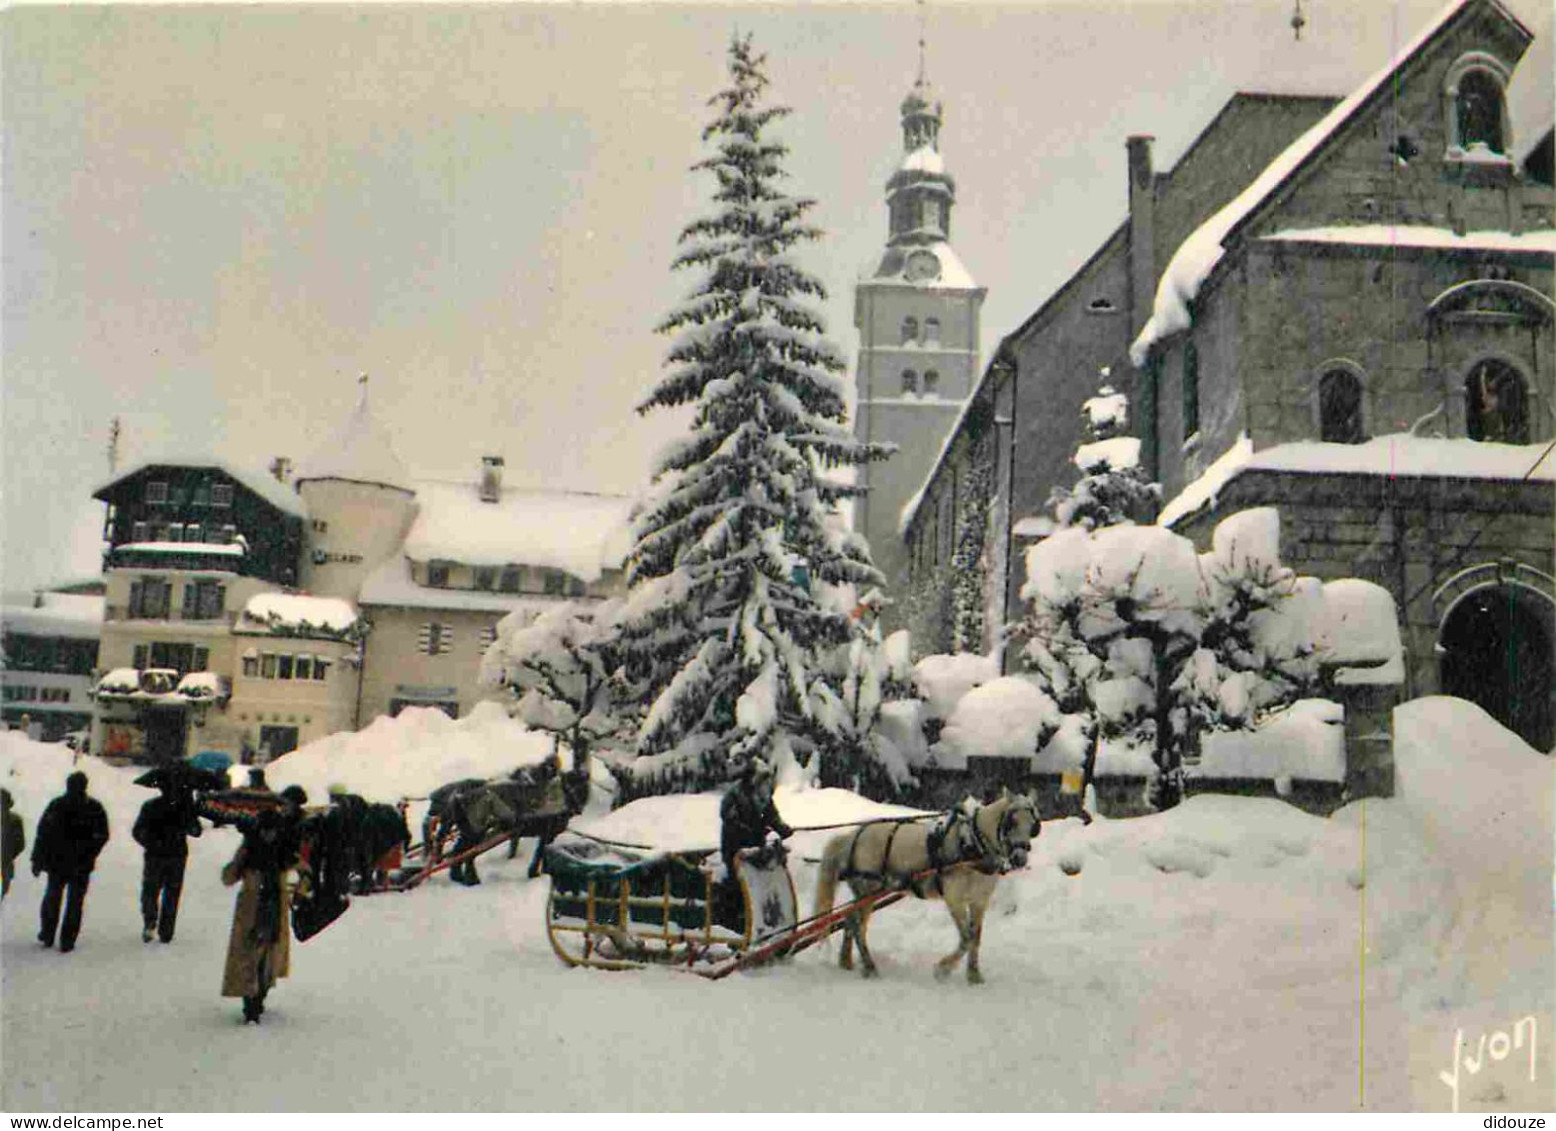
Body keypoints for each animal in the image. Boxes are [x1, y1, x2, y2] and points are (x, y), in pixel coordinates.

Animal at [809, 793, 1039, 989]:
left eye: (1033, 825)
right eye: (1011, 822)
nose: (1020, 859)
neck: (972, 846)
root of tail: (854, 835)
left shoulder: (979, 901)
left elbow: (976, 937)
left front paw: (974, 976)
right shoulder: (954, 899)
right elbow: (966, 938)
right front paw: (943, 969)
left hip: (864, 893)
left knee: (850, 920)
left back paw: (846, 961)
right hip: (868, 889)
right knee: (858, 927)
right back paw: (869, 967)